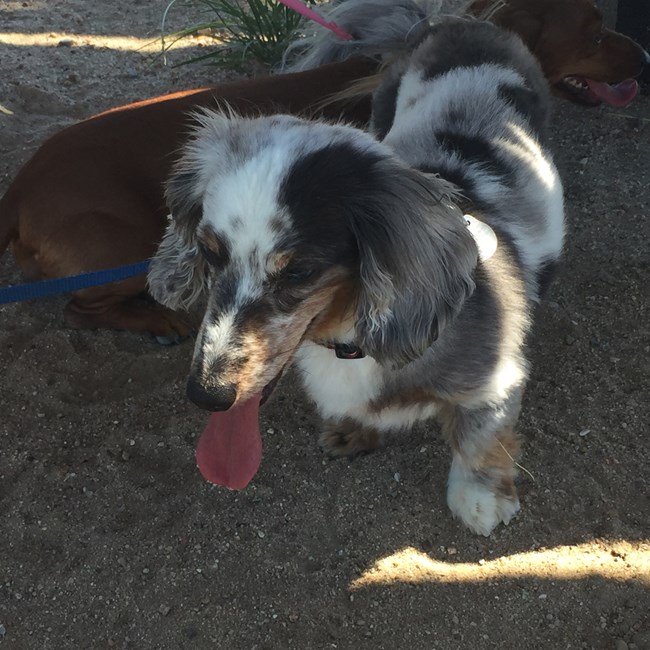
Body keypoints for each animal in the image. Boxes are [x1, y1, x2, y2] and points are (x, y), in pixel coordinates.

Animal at [2, 0, 644, 336]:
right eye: (595, 31)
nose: (645, 55)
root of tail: (16, 191)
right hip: (129, 242)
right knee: (80, 307)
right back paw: (161, 323)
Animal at [148, 19, 560, 536]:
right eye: (208, 251)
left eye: (300, 271)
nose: (207, 395)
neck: (348, 341)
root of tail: (461, 22)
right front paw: (355, 430)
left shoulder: (497, 381)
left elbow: (480, 434)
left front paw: (480, 497)